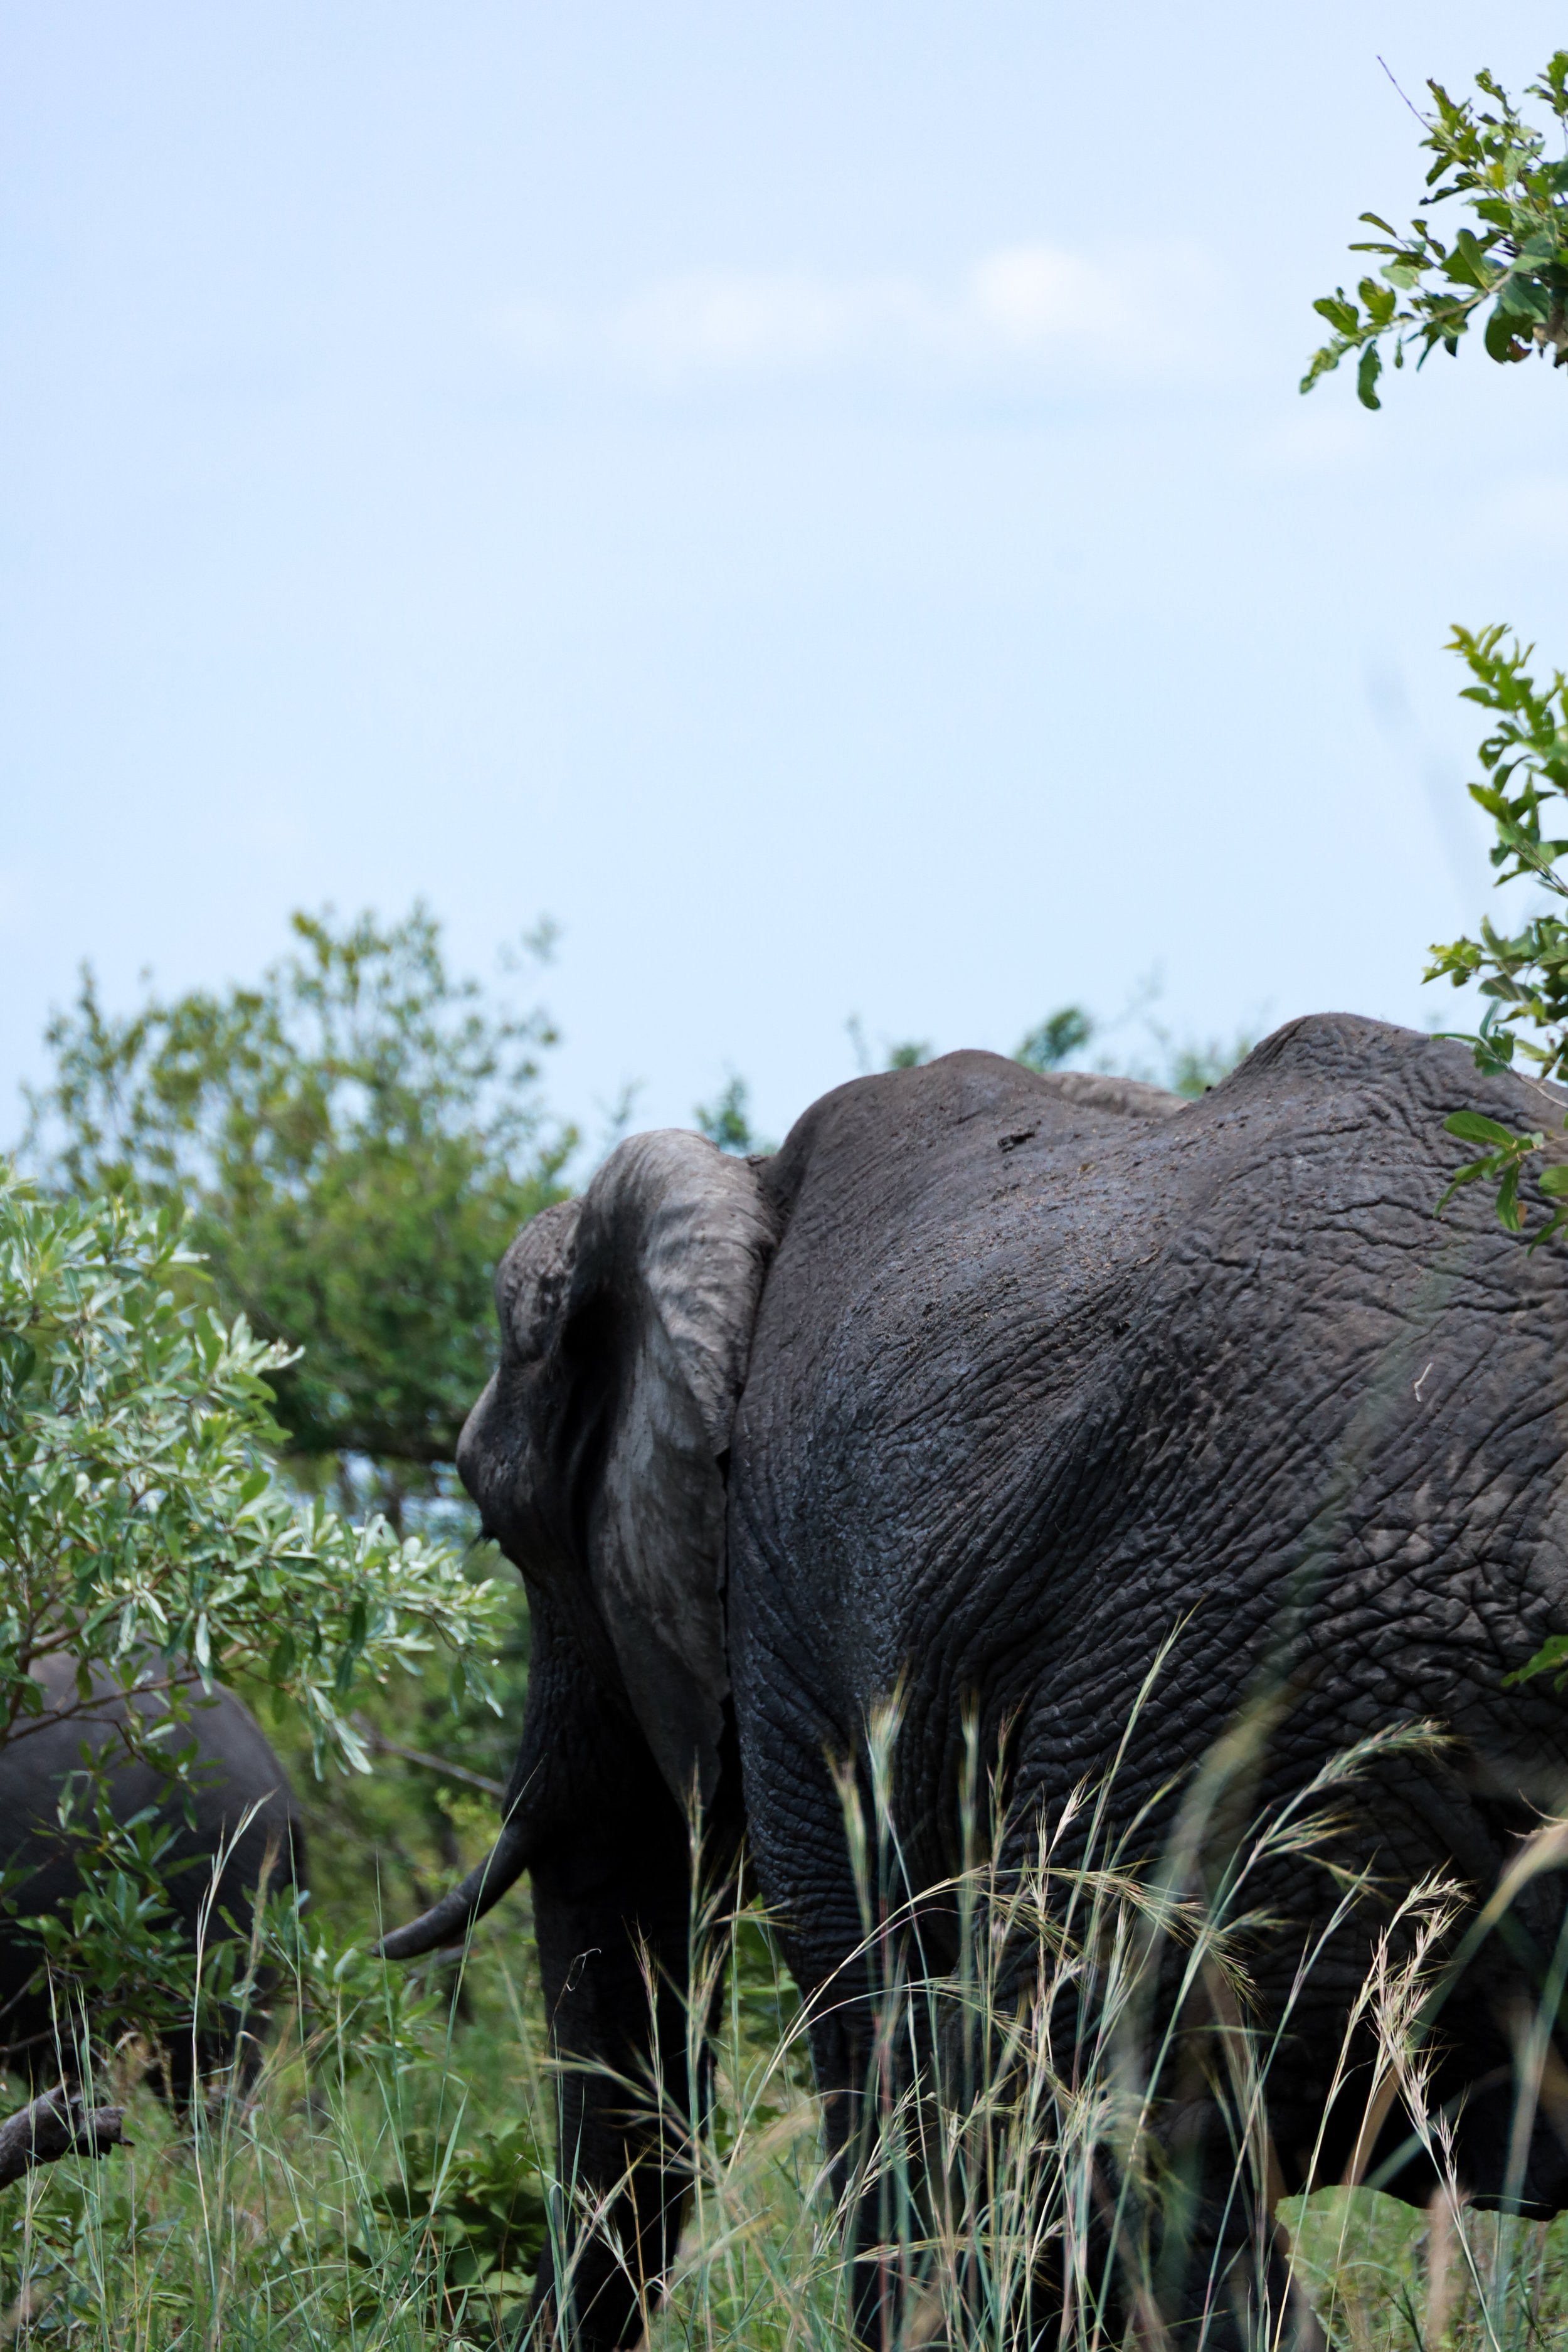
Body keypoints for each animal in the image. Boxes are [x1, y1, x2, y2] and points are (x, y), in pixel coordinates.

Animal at [384, 1013, 1568, 2348]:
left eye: (493, 1519)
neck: (750, 1188)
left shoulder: (800, 1621)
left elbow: (886, 2064)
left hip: (1246, 1722)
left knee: (1128, 2145)